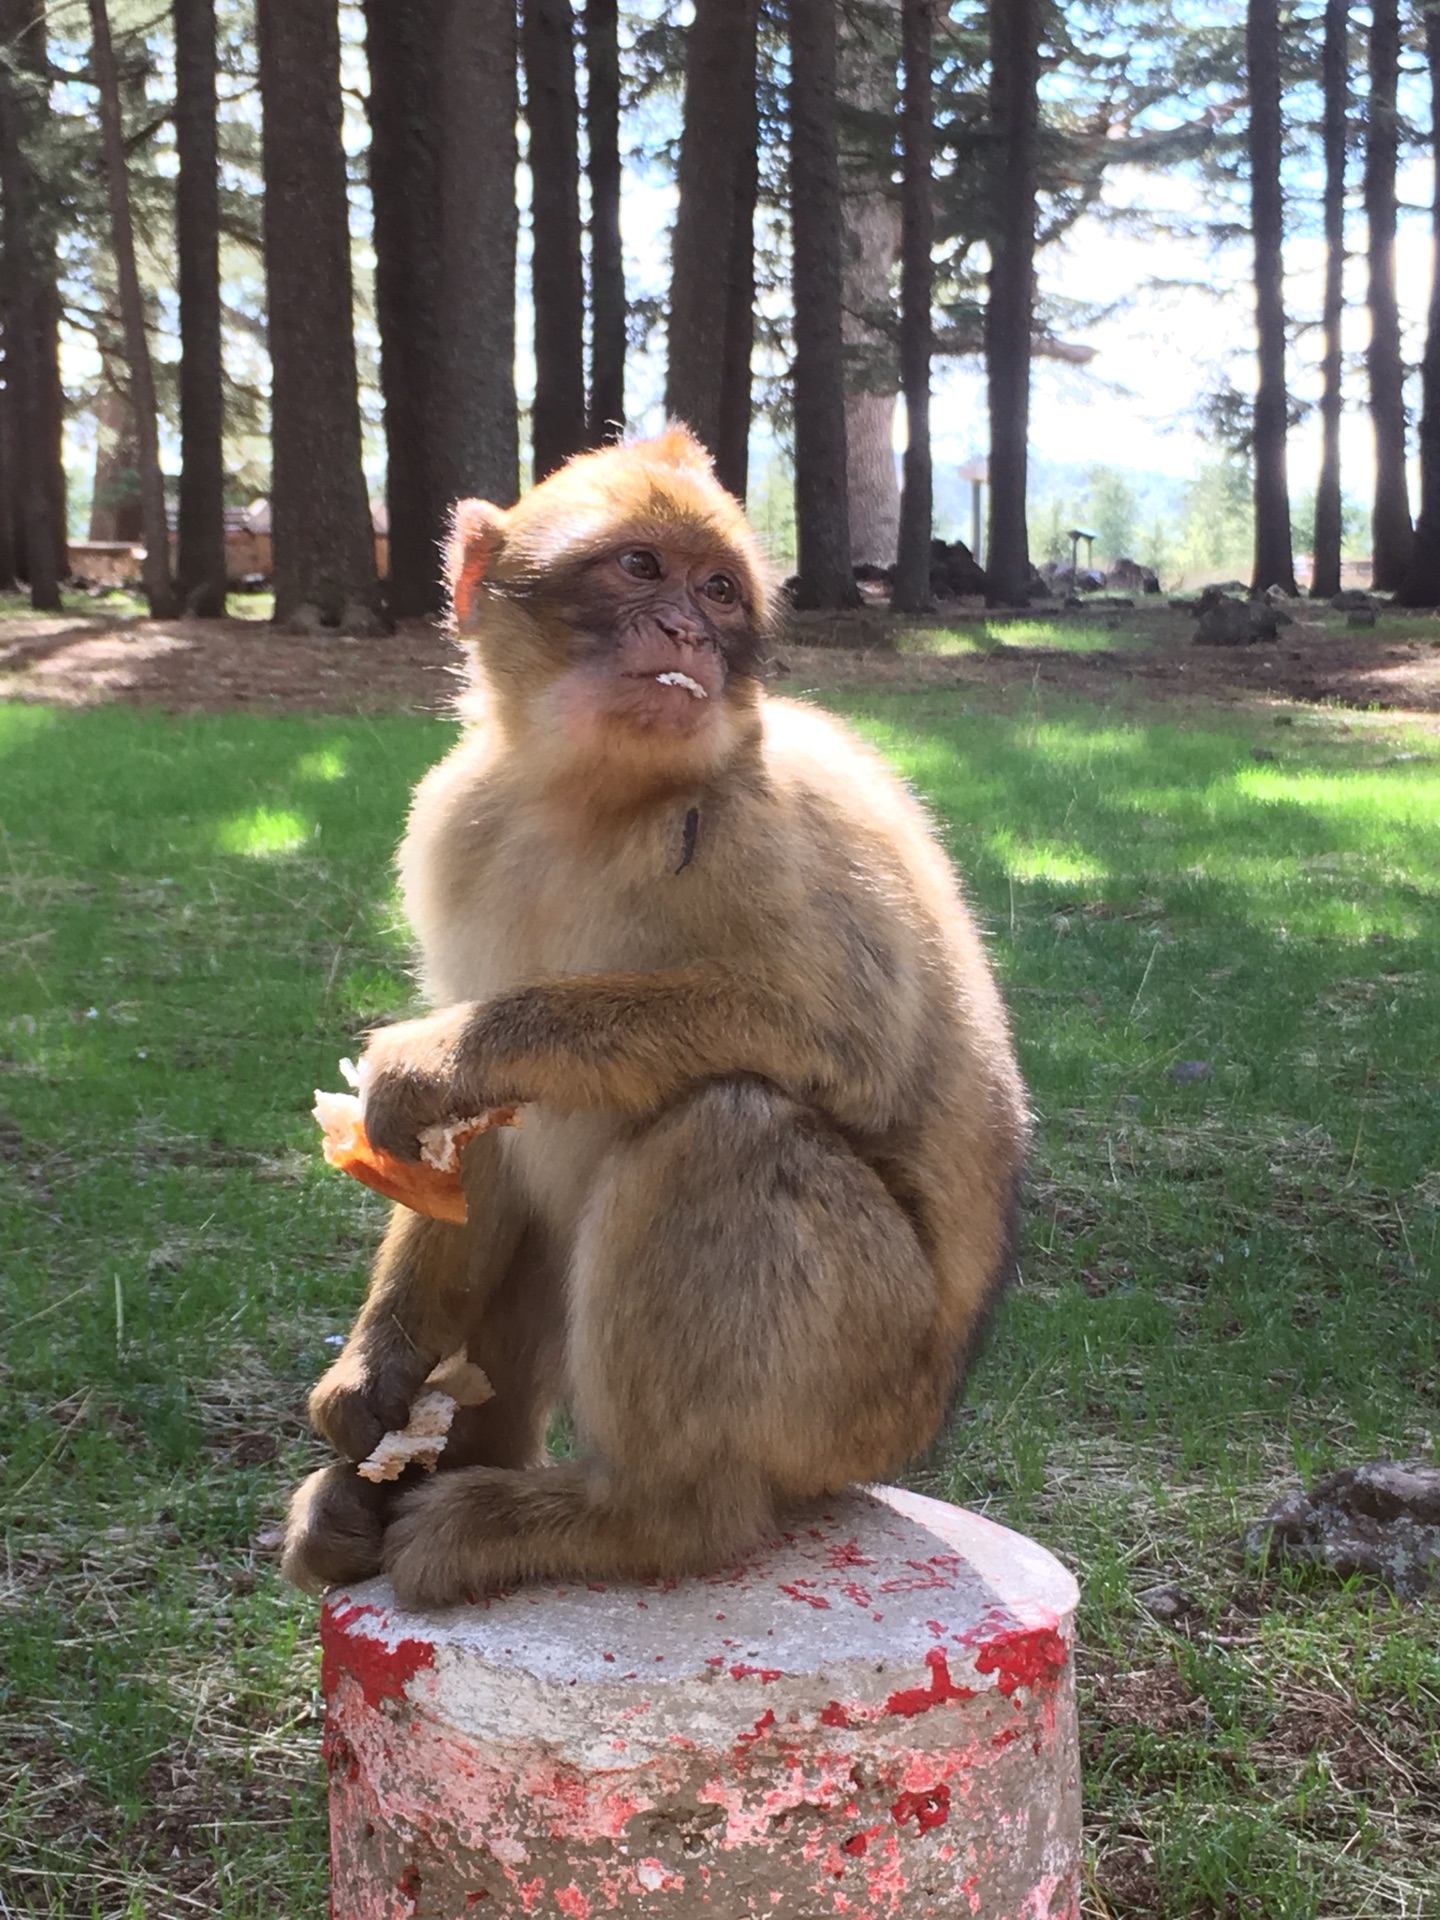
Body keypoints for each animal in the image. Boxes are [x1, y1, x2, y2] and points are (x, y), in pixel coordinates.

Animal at [278, 428, 1029, 1612]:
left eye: (719, 590)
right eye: (642, 569)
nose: (687, 634)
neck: (589, 800)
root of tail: (924, 1416)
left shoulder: (772, 821)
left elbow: (841, 1038)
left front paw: (446, 1057)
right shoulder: (454, 824)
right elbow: (474, 1148)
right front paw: (377, 1376)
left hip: (856, 1393)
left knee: (728, 1127)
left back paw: (627, 1519)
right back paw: (392, 1489)